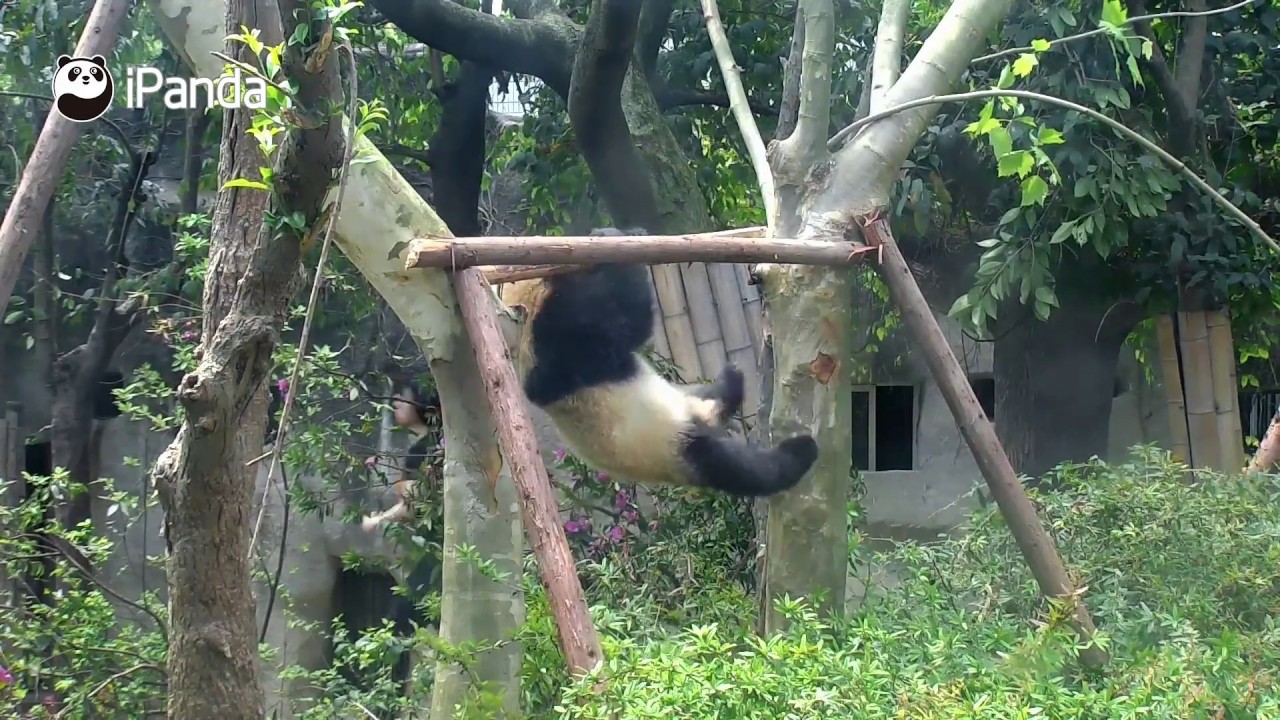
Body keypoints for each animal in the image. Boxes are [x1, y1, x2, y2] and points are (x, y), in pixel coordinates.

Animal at [498, 226, 819, 497]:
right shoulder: (569, 350)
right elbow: (628, 323)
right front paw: (611, 240)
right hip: (679, 447)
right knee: (742, 468)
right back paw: (800, 451)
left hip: (685, 405)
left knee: (709, 396)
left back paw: (731, 381)